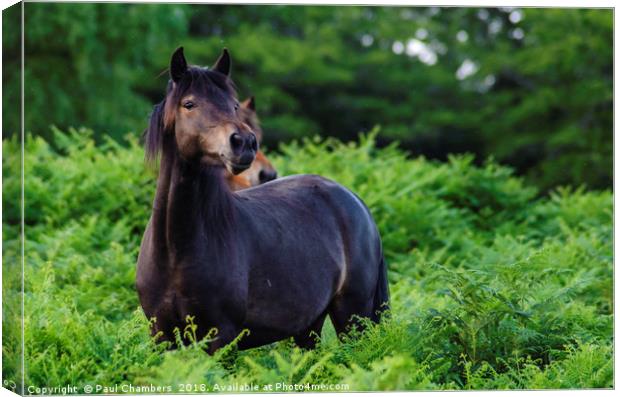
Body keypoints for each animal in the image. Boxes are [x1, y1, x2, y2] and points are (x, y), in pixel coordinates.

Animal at [137, 47, 388, 352]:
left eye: (233, 105)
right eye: (189, 104)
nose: (244, 142)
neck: (176, 249)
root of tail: (354, 199)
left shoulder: (221, 337)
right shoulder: (161, 336)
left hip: (353, 318)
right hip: (309, 327)